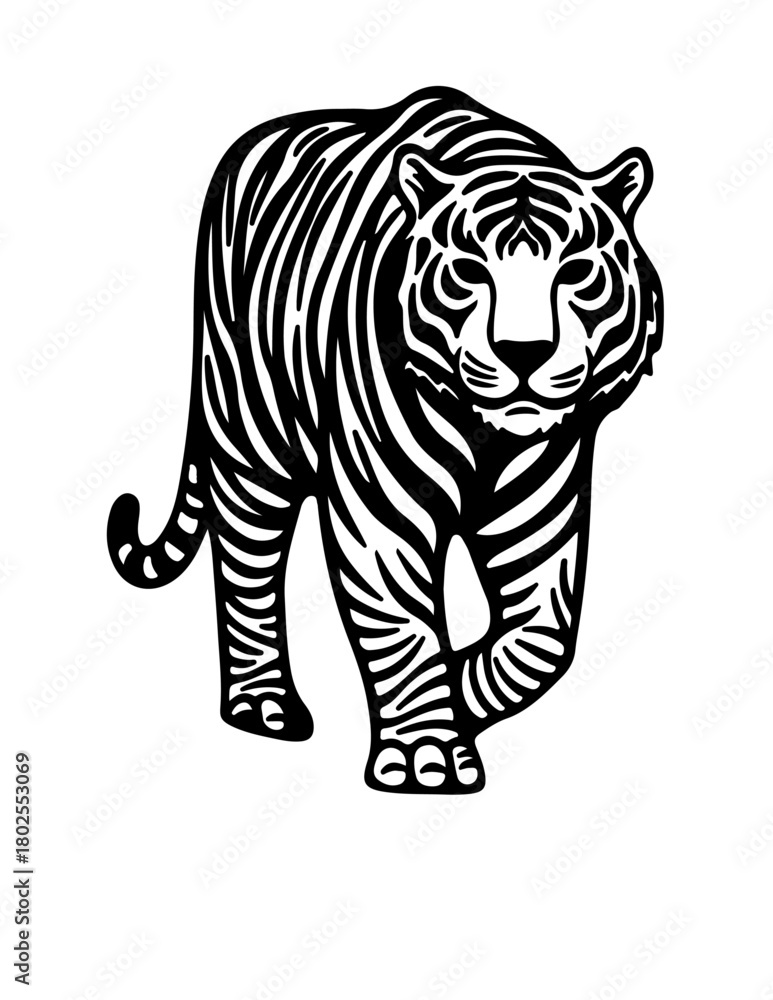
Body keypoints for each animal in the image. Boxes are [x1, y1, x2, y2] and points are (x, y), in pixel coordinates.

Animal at [107, 87, 663, 794]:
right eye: (470, 271)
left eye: (576, 271)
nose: (524, 352)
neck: (488, 437)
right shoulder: (382, 514)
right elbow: (401, 627)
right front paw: (427, 754)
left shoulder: (546, 518)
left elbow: (541, 642)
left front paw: (458, 698)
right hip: (249, 439)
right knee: (246, 563)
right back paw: (265, 706)